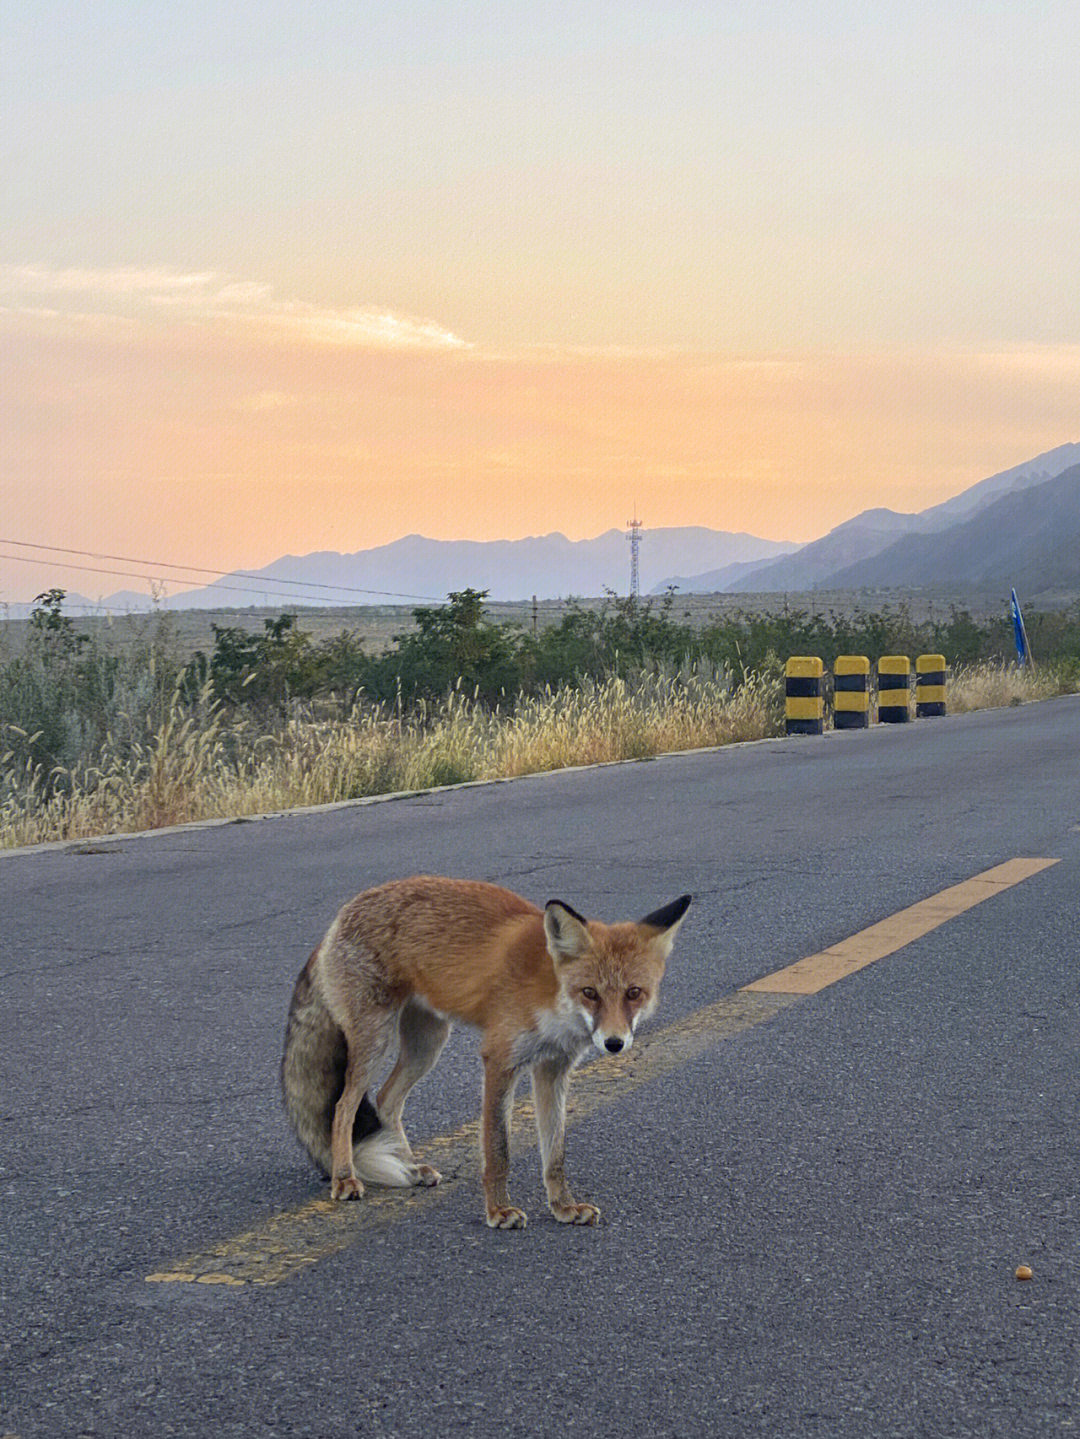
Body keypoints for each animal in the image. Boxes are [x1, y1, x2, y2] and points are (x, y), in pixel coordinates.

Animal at [283, 874, 687, 1226]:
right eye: (590, 993)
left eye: (634, 993)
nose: (614, 1043)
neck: (550, 995)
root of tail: (338, 919)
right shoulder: (500, 1059)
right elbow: (498, 1150)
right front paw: (498, 1211)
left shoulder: (553, 1068)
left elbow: (554, 1153)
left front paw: (563, 1207)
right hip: (375, 1040)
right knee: (343, 1108)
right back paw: (344, 1177)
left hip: (428, 1044)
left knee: (386, 1100)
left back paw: (410, 1167)